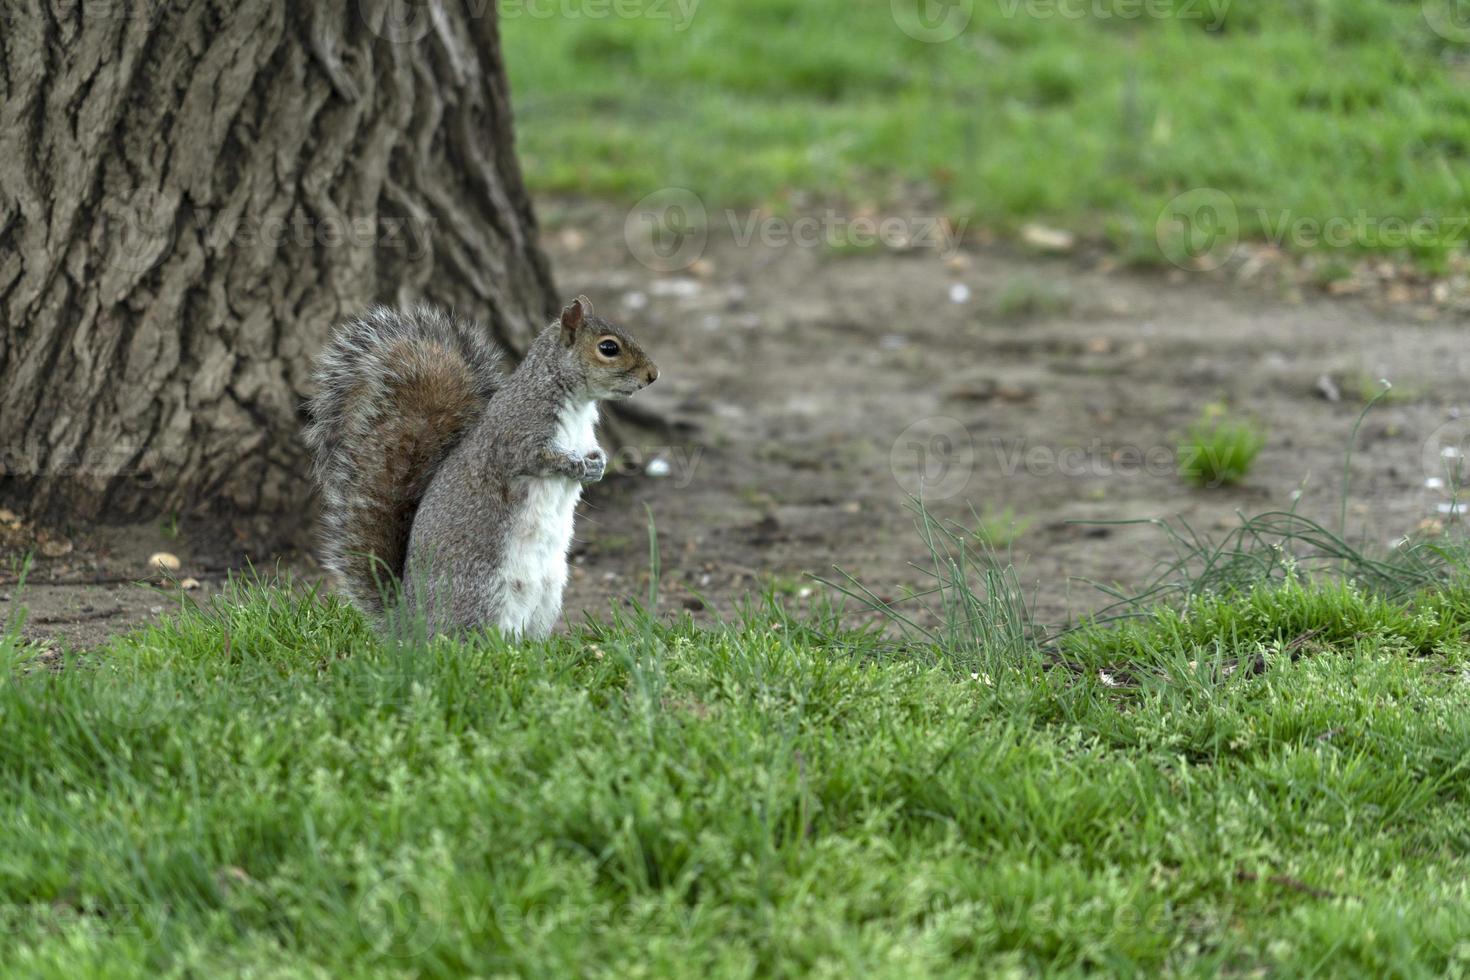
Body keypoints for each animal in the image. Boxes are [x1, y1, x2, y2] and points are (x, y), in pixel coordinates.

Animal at [301, 295, 658, 640]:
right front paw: (573, 465)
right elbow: (536, 458)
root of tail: (410, 623)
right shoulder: (516, 436)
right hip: (481, 592)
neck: (576, 403)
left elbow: (593, 454)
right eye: (608, 348)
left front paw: (597, 466)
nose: (652, 376)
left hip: (549, 594)